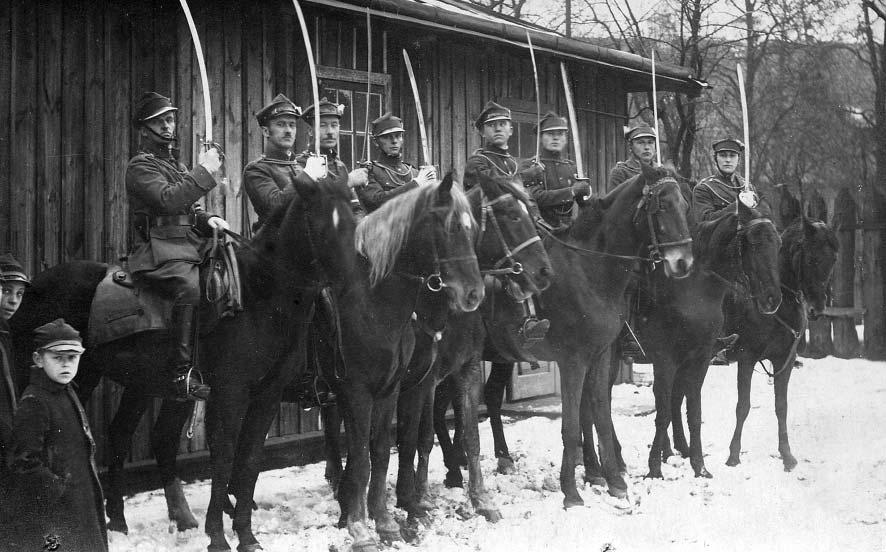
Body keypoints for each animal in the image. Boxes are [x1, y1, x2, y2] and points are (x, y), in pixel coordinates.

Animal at [390, 175, 556, 524]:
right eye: (512, 215)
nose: (545, 273)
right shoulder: (428, 378)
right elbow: (424, 436)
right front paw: (422, 497)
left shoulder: (465, 368)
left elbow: (471, 434)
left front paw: (480, 498)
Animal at [440, 163, 696, 504]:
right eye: (662, 206)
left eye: (684, 206)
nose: (683, 262)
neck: (590, 269)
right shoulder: (573, 361)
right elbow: (573, 423)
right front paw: (572, 490)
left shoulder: (601, 356)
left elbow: (600, 415)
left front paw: (613, 481)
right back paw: (455, 471)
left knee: (484, 399)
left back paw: (487, 460)